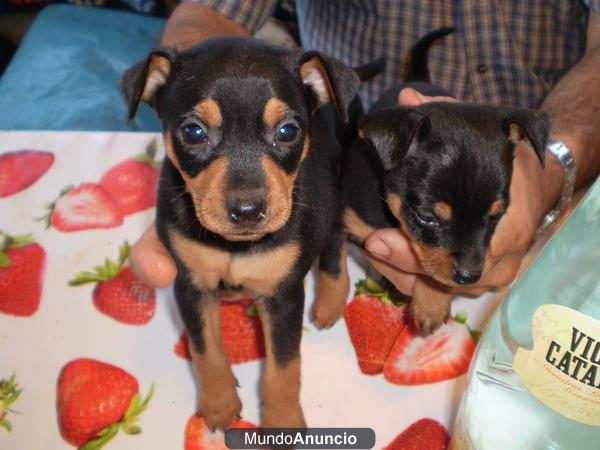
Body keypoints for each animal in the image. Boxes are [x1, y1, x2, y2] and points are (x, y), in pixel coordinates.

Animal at [121, 36, 370, 428]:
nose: (248, 210)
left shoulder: (284, 296)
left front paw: (282, 423)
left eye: (288, 131)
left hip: (339, 186)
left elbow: (283, 368)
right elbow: (204, 349)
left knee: (334, 244)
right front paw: (219, 405)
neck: (234, 248)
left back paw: (330, 302)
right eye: (193, 132)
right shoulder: (191, 285)